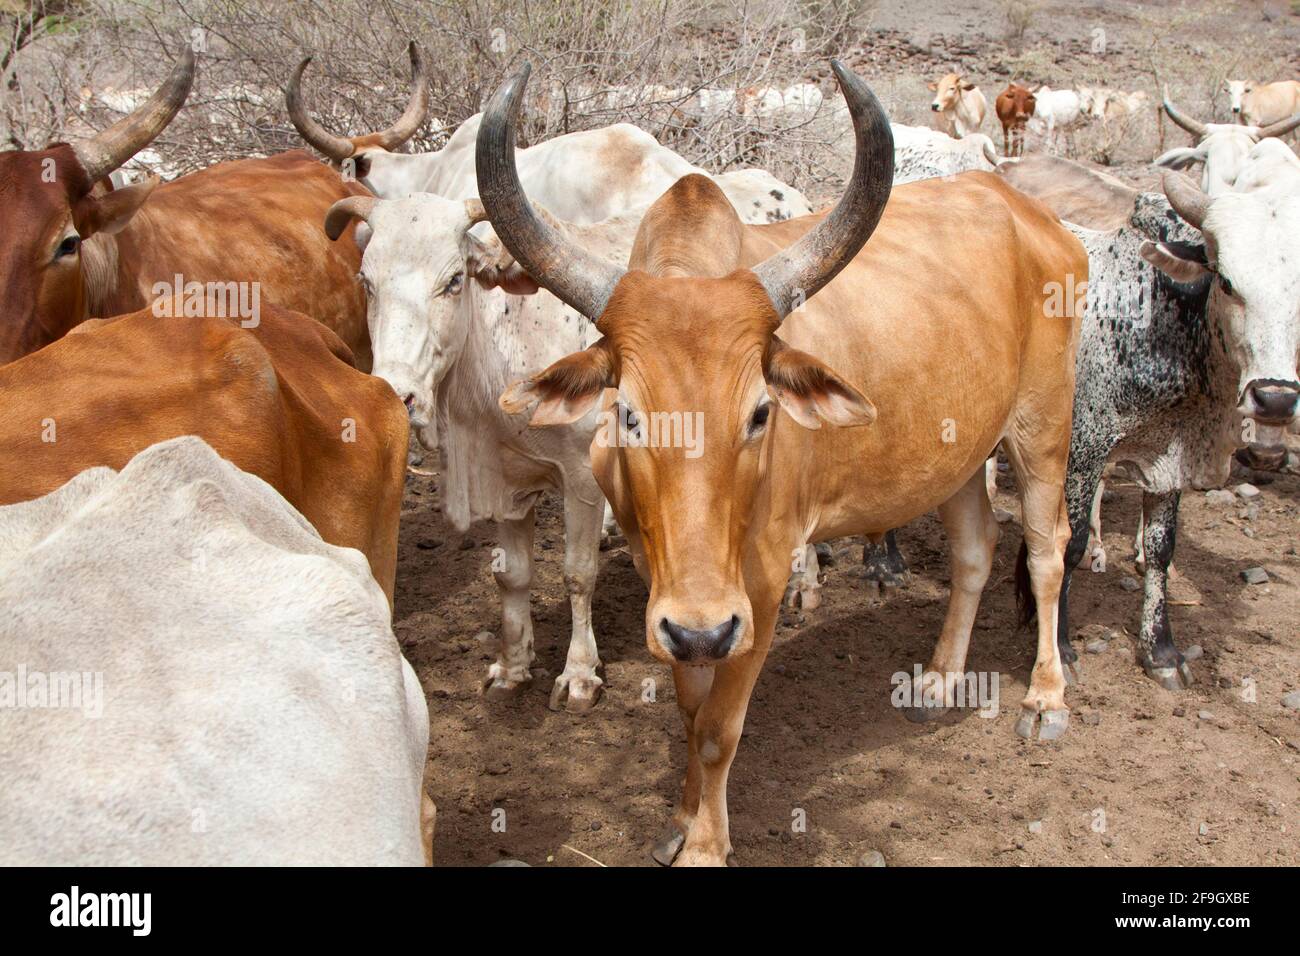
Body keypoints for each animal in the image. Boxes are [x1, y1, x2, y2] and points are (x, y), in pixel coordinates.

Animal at [1050, 170, 1300, 697]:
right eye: (1227, 282)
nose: (1275, 400)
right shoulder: (1082, 451)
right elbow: (1071, 544)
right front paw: (1059, 649)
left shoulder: (1169, 457)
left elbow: (1161, 550)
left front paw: (1161, 652)